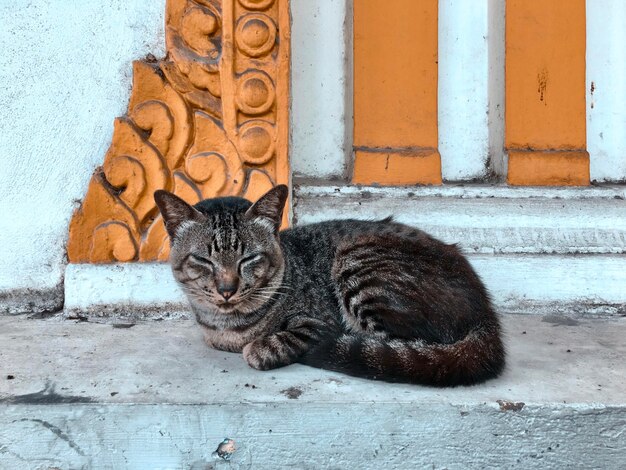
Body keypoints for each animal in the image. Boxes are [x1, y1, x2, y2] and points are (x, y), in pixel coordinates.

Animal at [154, 185, 504, 388]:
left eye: (248, 259)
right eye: (204, 260)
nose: (227, 288)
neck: (227, 325)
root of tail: (486, 312)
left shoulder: (318, 321)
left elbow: (283, 339)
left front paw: (260, 347)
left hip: (357, 263)